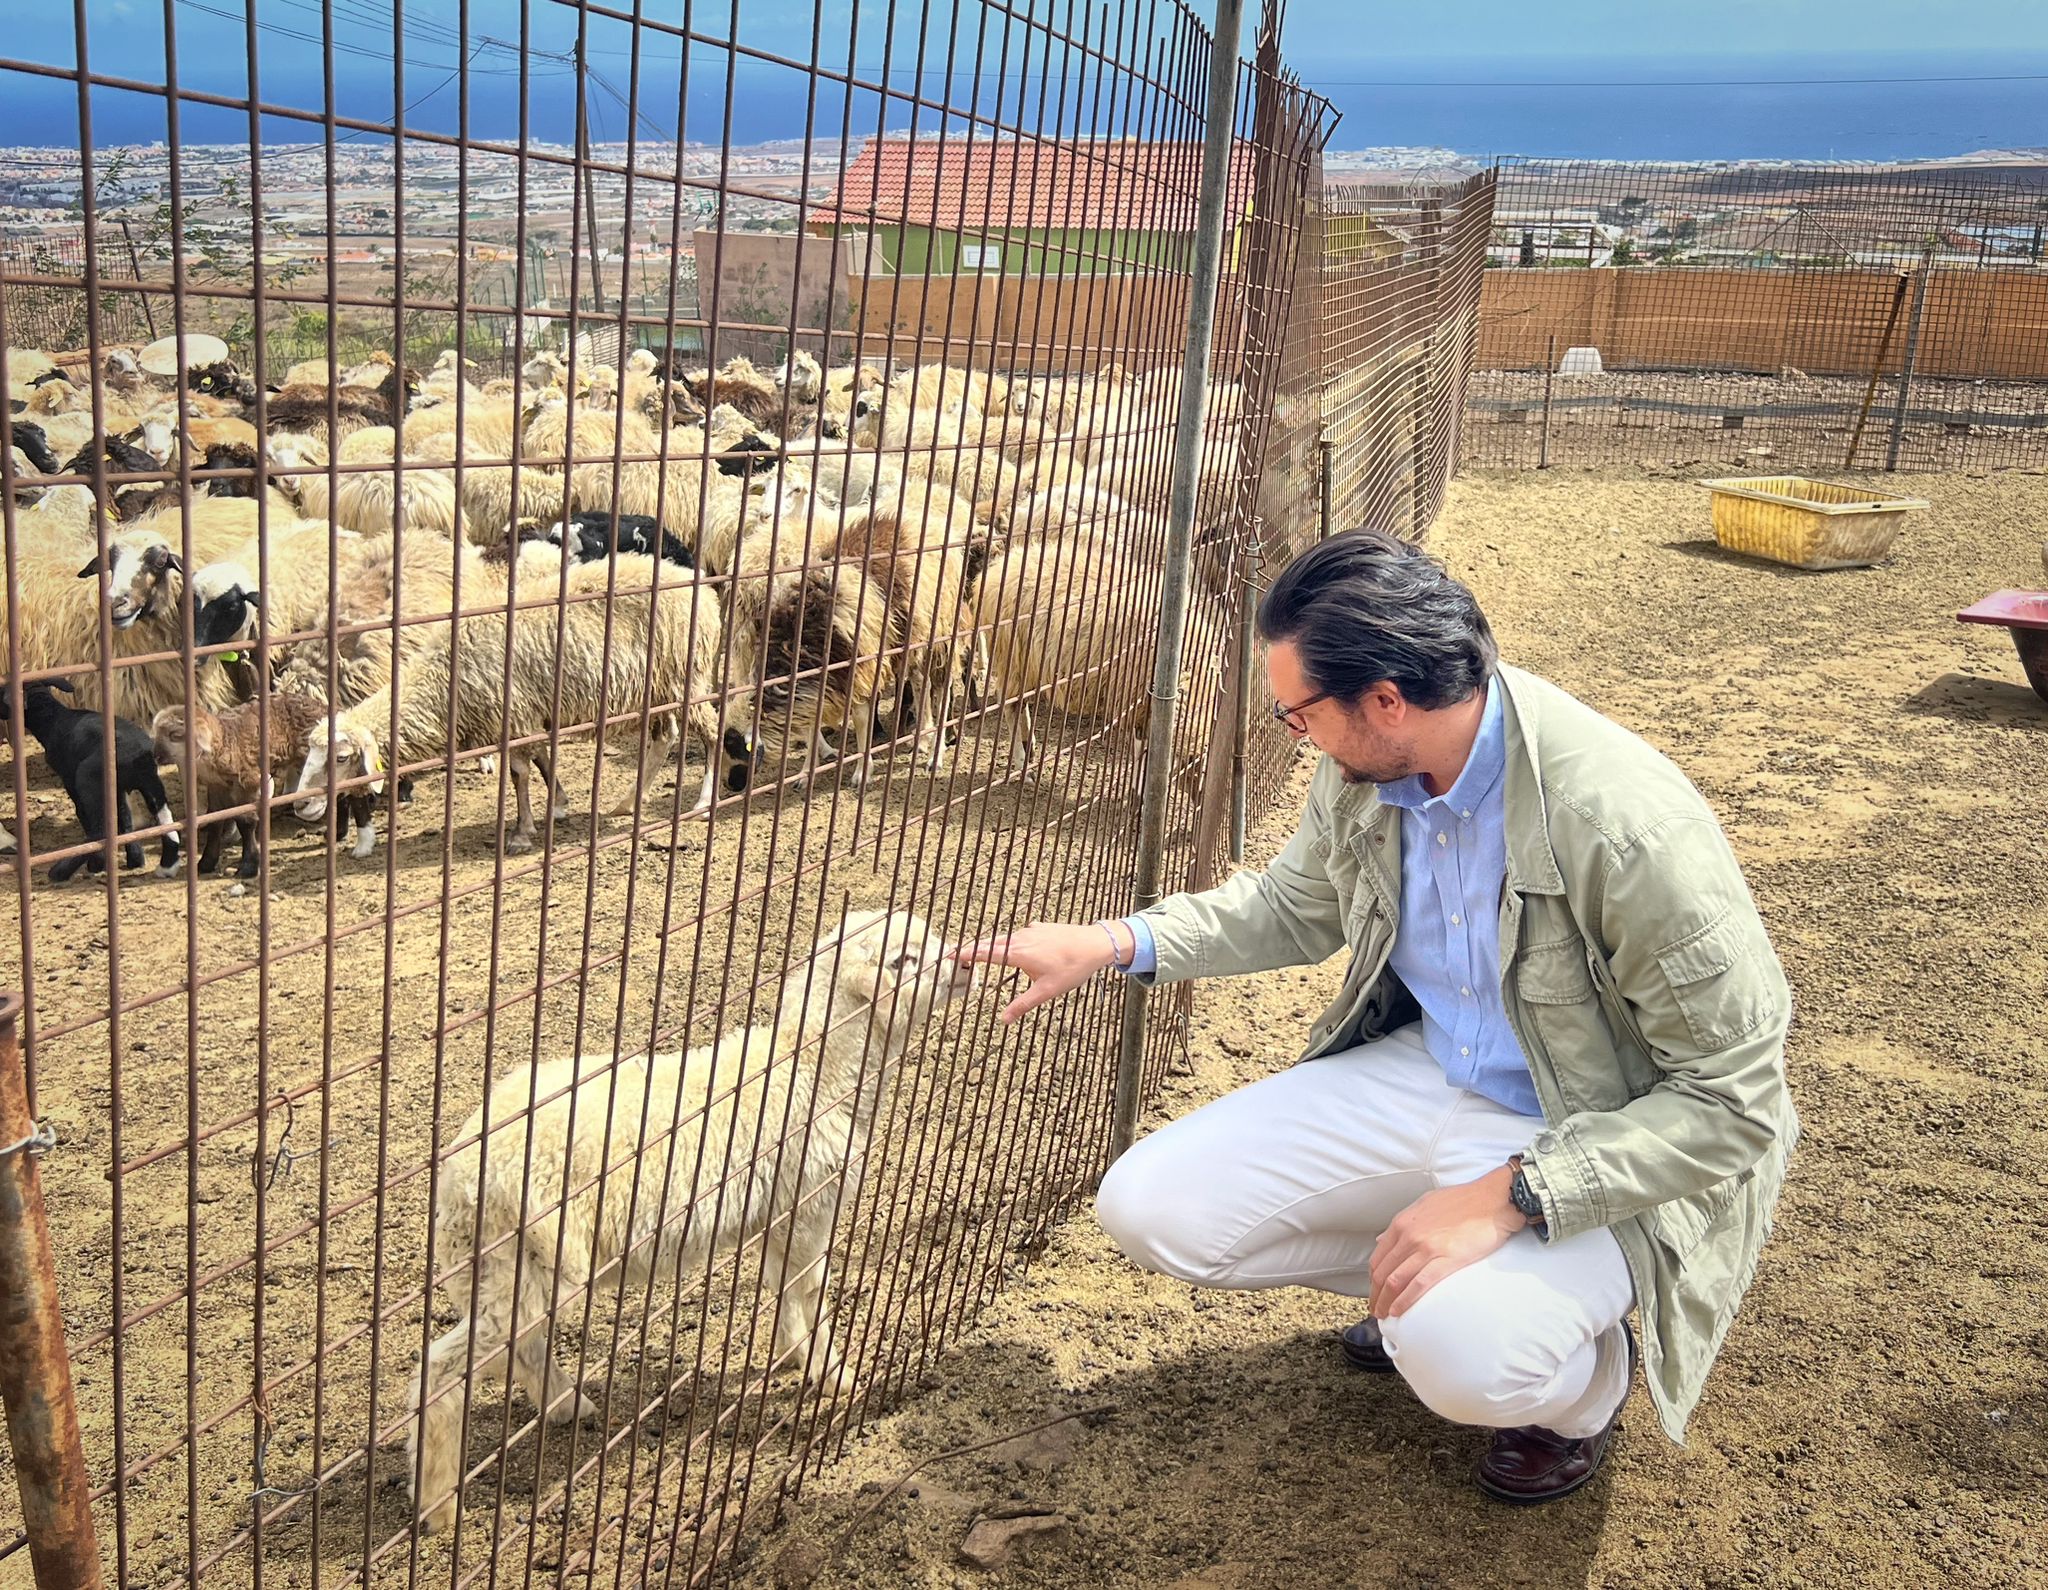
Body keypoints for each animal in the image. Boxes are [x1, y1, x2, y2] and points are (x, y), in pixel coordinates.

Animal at [3, 676, 180, 881]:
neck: (53, 716)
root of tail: (139, 755)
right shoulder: (118, 789)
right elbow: (125, 820)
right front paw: (135, 859)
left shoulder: (71, 780)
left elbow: (85, 816)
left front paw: (98, 864)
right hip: (152, 785)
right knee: (166, 822)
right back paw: (166, 866)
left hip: (88, 779)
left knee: (99, 829)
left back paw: (63, 871)